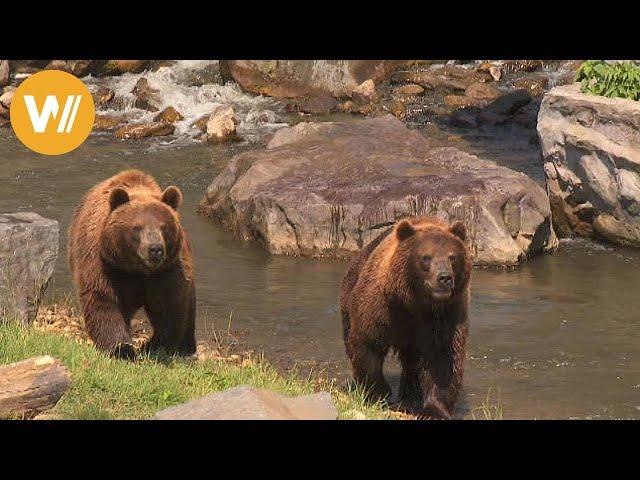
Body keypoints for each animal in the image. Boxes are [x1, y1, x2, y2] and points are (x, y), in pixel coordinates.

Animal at [69, 171, 196, 358]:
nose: (155, 249)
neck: (136, 269)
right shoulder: (105, 265)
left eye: (163, 226)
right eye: (137, 227)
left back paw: (186, 347)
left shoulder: (167, 270)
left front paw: (155, 345)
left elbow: (168, 306)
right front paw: (122, 349)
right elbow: (104, 301)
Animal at [340, 216, 470, 418]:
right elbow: (368, 343)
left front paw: (434, 410)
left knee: (413, 362)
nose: (445, 277)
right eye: (426, 257)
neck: (414, 302)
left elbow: (443, 358)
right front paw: (378, 394)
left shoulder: (446, 314)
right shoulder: (382, 307)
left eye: (452, 256)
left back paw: (411, 397)